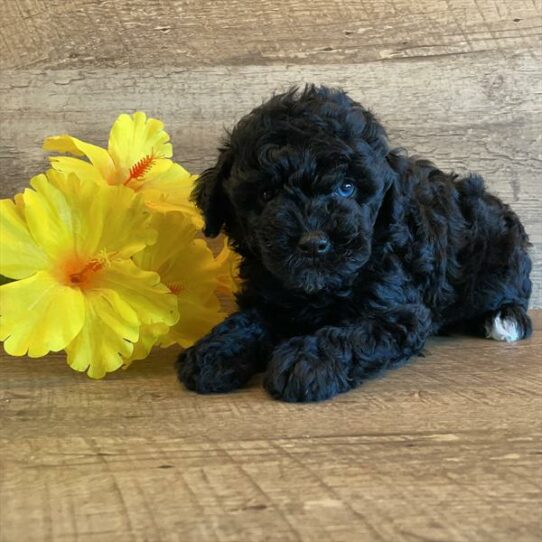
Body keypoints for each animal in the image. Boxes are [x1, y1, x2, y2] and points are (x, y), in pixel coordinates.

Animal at [177, 85, 532, 404]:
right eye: (267, 194)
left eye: (346, 188)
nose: (313, 243)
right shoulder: (269, 293)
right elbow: (250, 320)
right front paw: (215, 351)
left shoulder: (402, 312)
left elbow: (354, 333)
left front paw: (306, 362)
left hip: (501, 258)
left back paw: (504, 319)